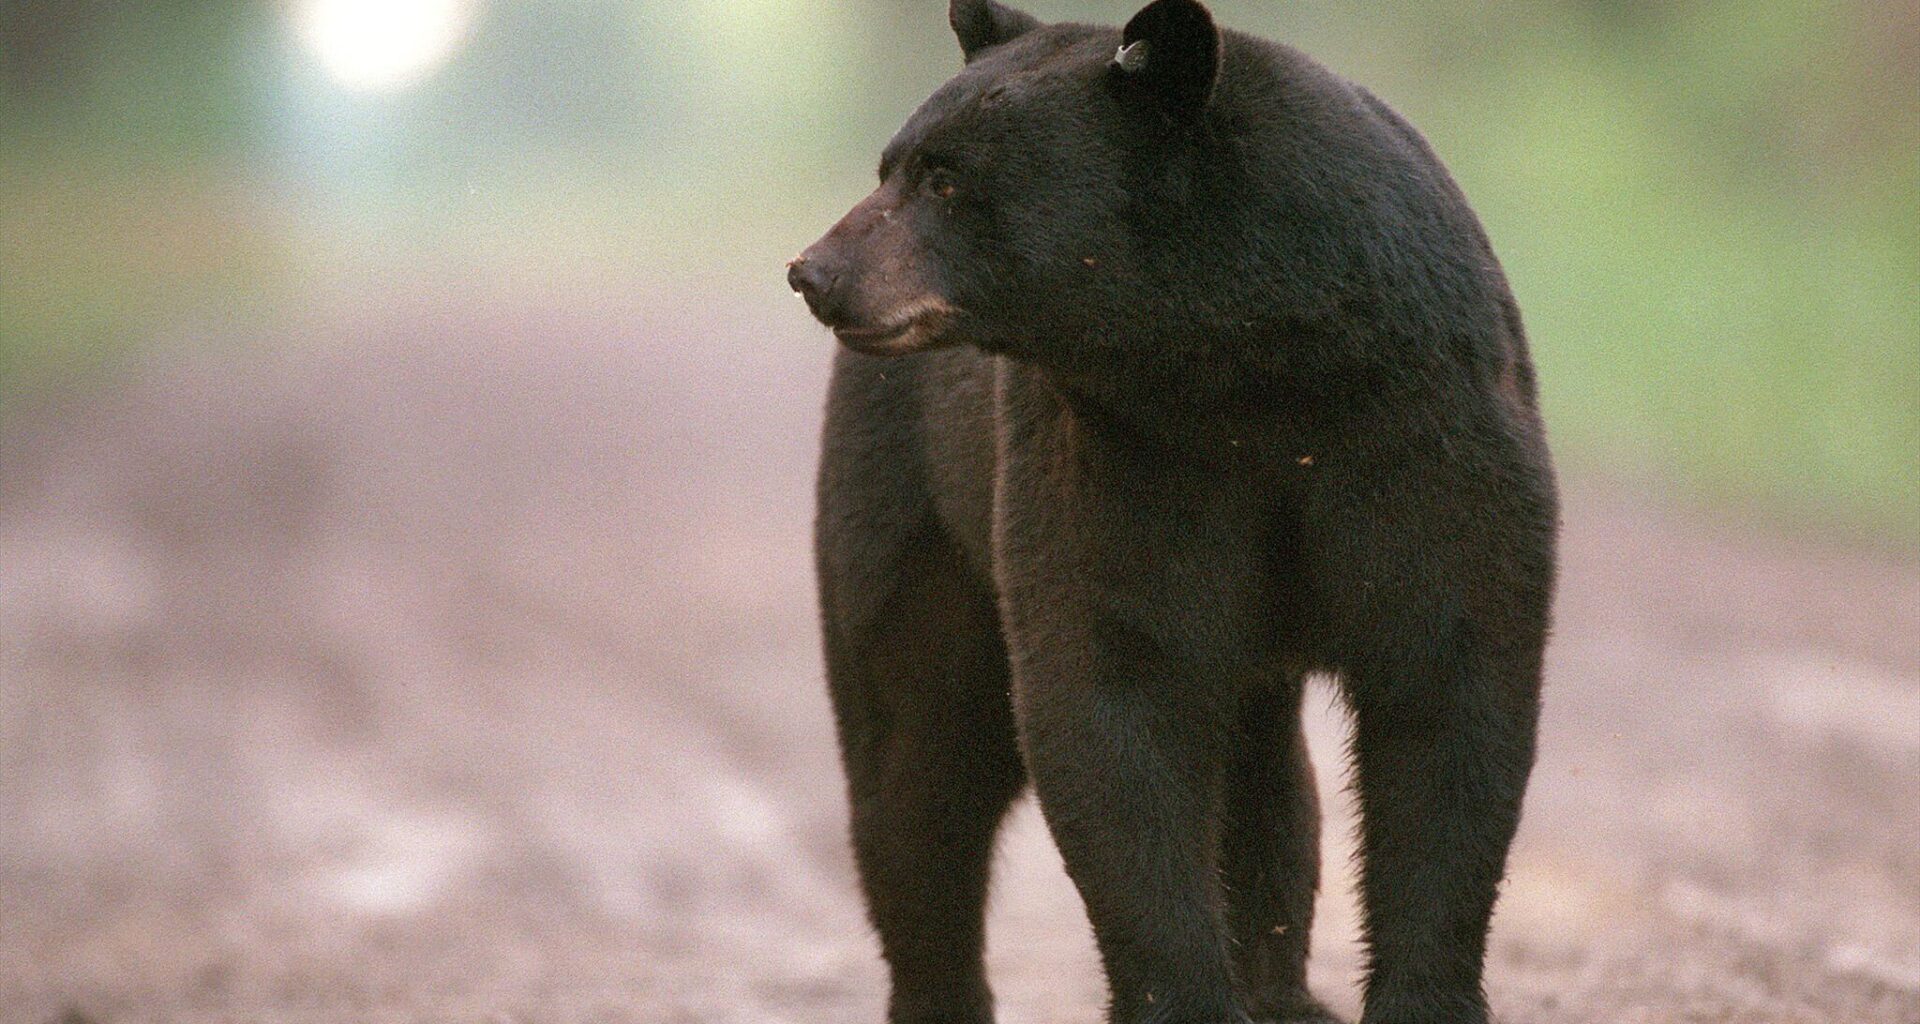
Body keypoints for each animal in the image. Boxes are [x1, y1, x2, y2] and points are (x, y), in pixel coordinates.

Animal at [789, 2, 1558, 1023]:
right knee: (920, 762)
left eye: (946, 178)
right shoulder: (1127, 458)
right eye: (892, 166)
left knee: (1260, 777)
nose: (814, 270)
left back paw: (1282, 994)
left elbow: (1449, 690)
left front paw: (1423, 997)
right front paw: (1184, 995)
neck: (1249, 371)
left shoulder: (1423, 432)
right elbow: (1117, 692)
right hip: (914, 508)